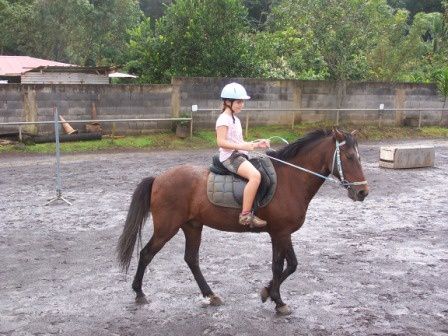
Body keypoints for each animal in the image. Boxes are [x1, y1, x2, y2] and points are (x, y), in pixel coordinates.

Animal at [117, 128, 370, 316]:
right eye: (349, 157)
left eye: (359, 157)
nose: (363, 192)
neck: (291, 180)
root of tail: (158, 178)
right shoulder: (280, 233)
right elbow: (281, 265)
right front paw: (277, 301)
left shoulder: (282, 233)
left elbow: (289, 265)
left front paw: (268, 292)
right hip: (166, 228)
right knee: (147, 254)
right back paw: (139, 293)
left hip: (192, 226)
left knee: (191, 259)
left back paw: (211, 295)